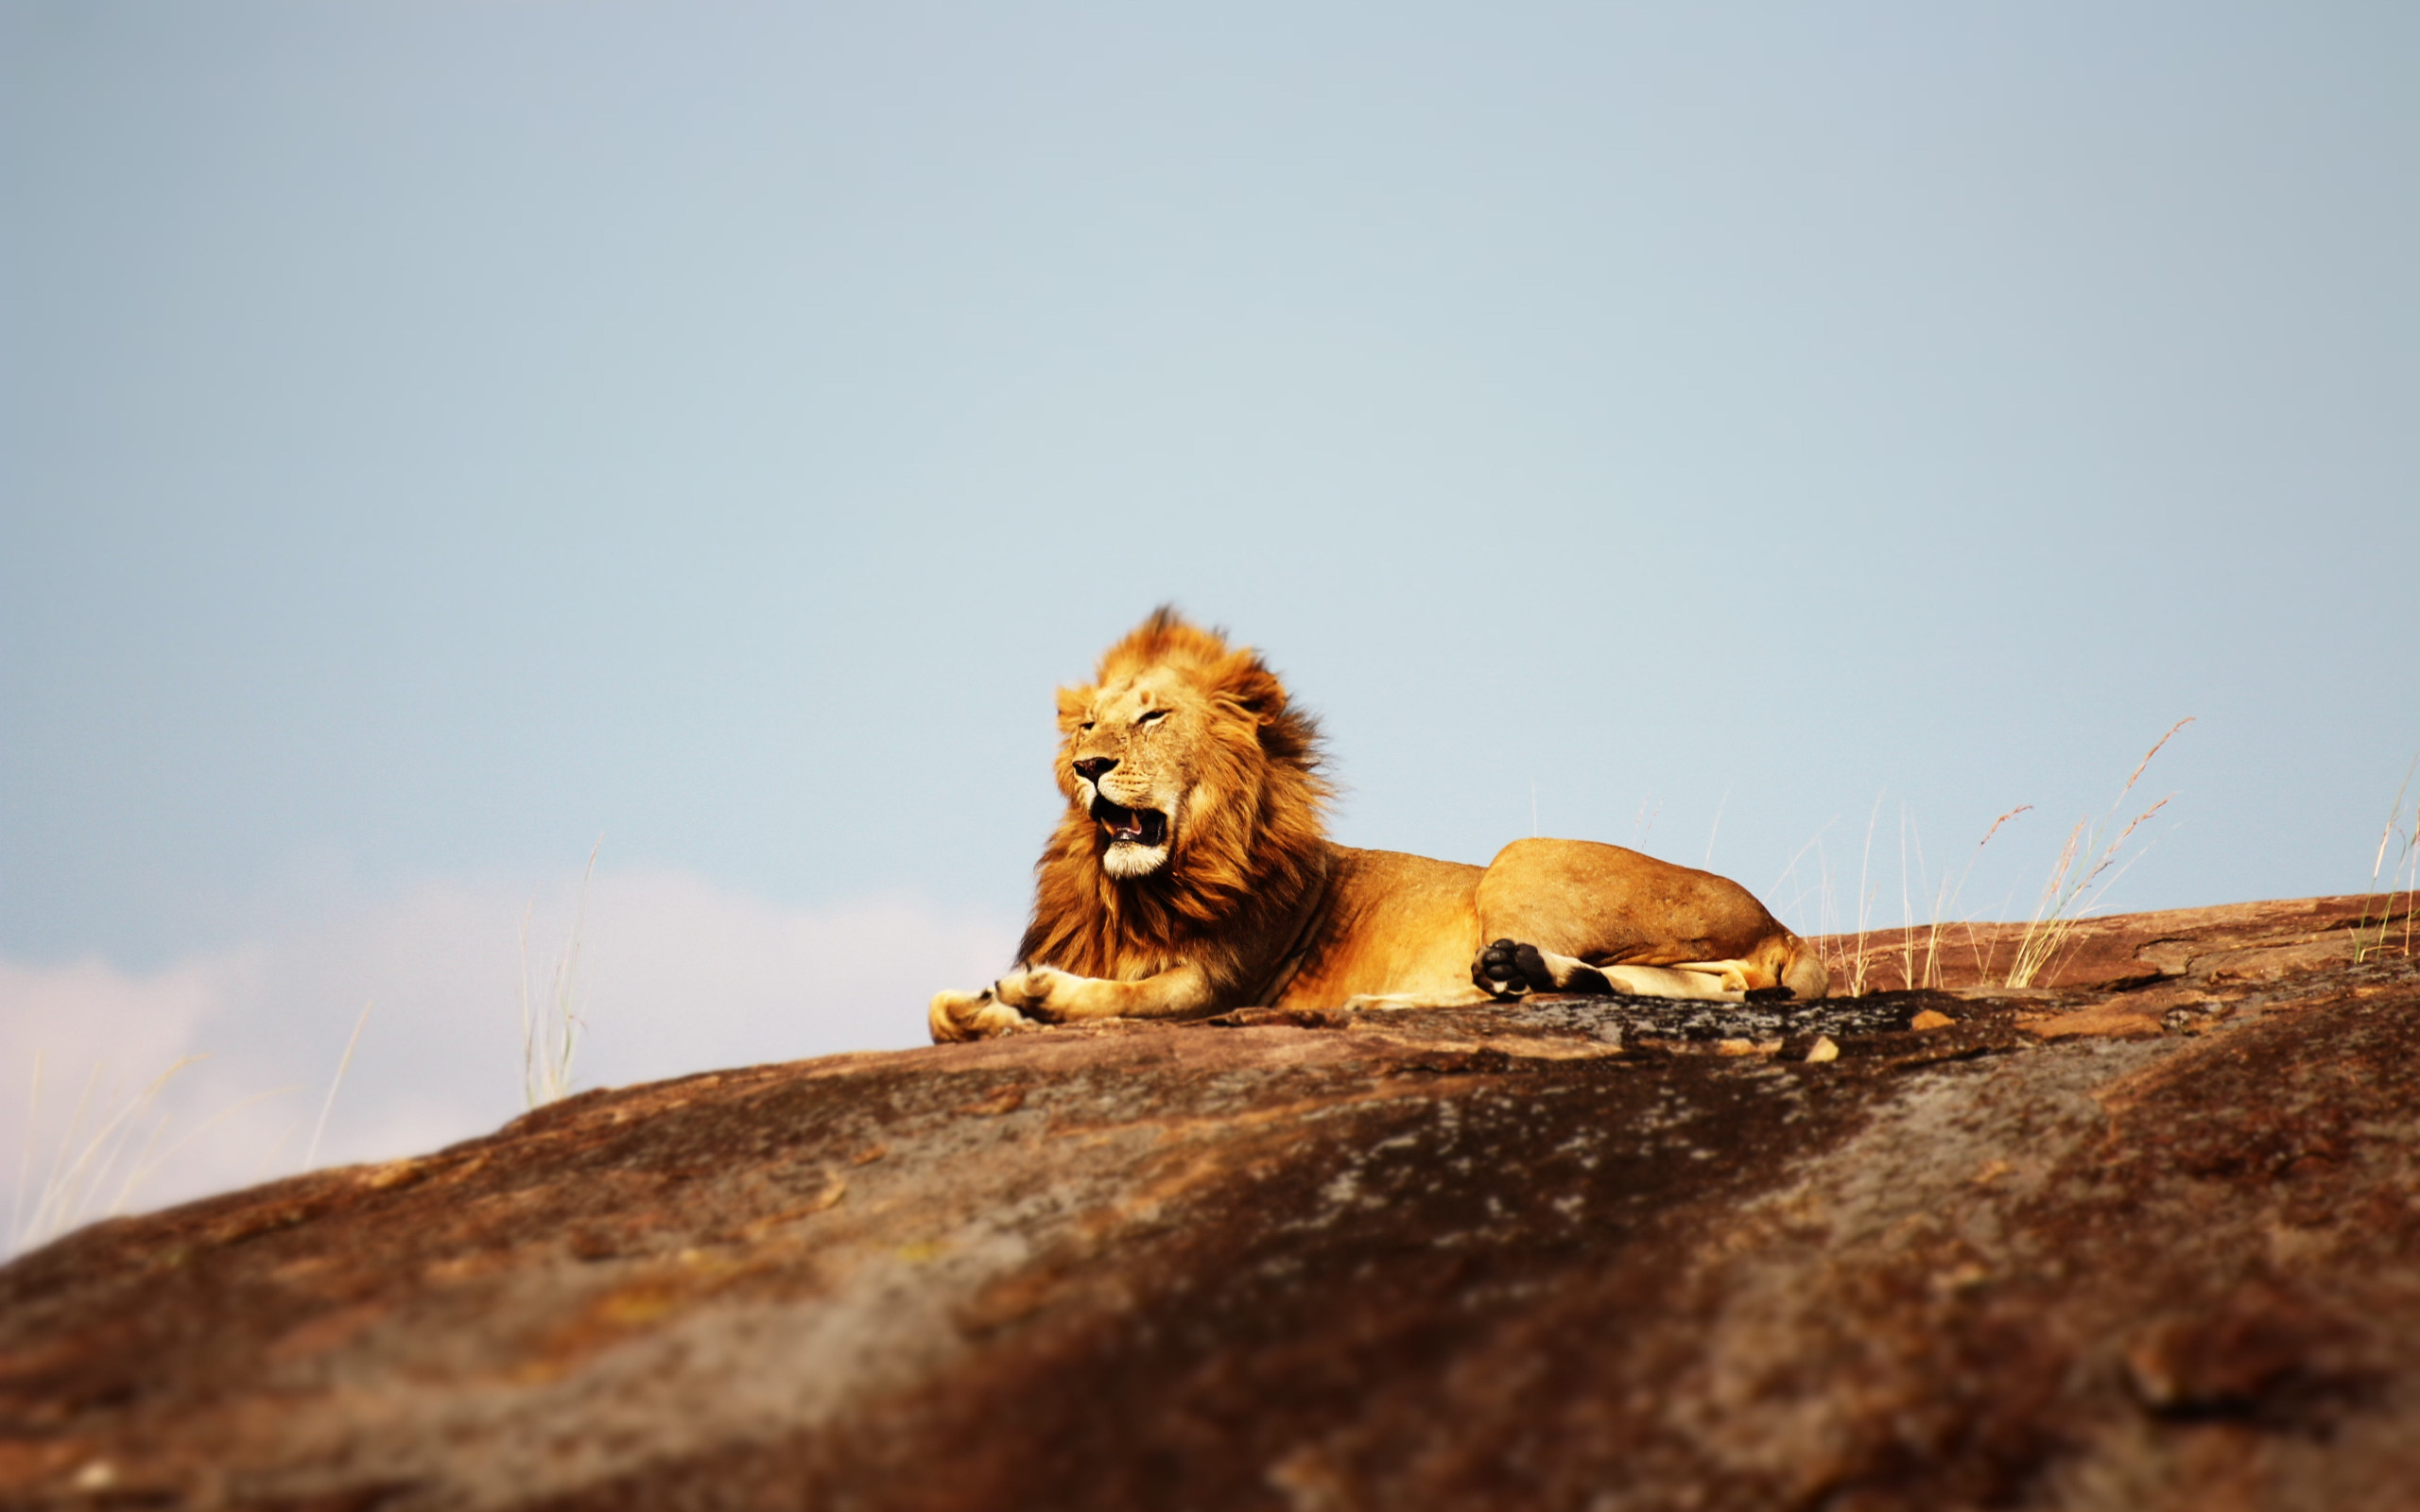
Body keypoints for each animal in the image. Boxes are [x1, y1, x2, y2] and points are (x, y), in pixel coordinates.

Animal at [919, 607, 1820, 1044]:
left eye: (1152, 718)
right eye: (1084, 726)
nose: (1089, 766)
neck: (1138, 893)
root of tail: (1784, 928)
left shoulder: (1216, 986)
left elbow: (1120, 998)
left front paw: (1035, 993)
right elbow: (935, 1008)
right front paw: (984, 1008)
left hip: (1520, 857)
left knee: (1704, 983)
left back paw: (1440, 988)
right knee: (1698, 984)